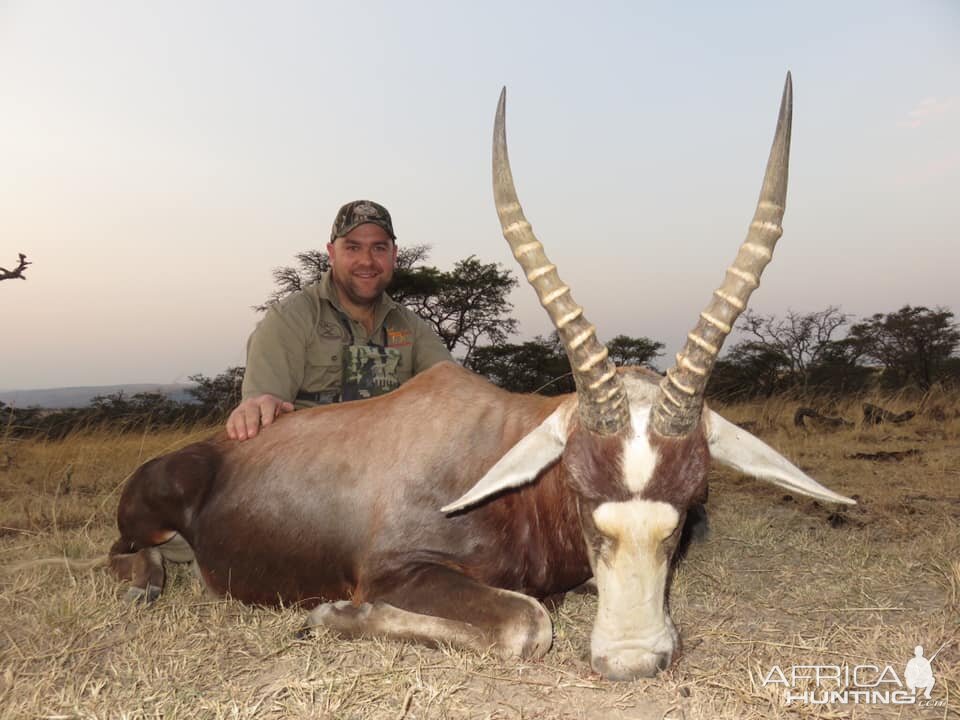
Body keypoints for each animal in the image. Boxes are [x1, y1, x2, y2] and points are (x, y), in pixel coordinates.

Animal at [110, 76, 856, 684]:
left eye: (693, 500)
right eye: (579, 489)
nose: (632, 661)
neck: (507, 476)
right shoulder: (397, 571)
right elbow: (528, 623)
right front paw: (328, 617)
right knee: (129, 555)